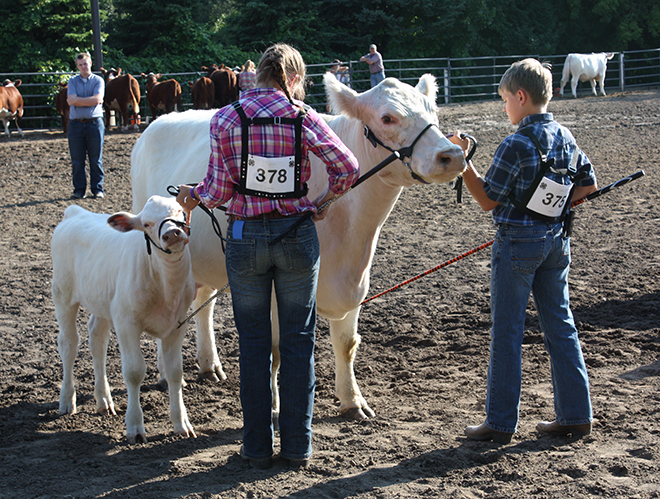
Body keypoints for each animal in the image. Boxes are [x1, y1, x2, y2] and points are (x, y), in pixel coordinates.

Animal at [52, 195, 196, 444]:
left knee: (97, 340)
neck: (166, 285)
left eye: (179, 211)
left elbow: (175, 371)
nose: (172, 233)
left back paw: (104, 400)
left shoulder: (178, 325)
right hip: (62, 295)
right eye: (146, 224)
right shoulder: (126, 322)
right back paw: (67, 400)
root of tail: (76, 212)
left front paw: (181, 423)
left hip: (103, 302)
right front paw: (135, 426)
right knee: (68, 344)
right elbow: (134, 371)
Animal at [131, 74, 466, 421]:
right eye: (388, 118)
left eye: (433, 112)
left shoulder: (355, 283)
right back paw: (164, 373)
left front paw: (353, 401)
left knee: (204, 304)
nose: (452, 154)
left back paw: (210, 366)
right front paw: (274, 405)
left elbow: (347, 344)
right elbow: (275, 349)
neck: (353, 234)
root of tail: (157, 123)